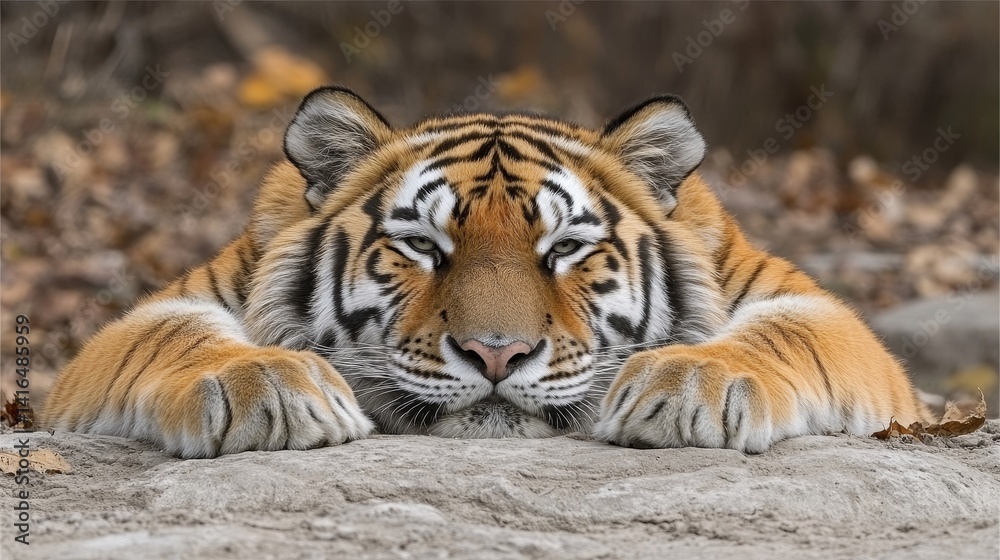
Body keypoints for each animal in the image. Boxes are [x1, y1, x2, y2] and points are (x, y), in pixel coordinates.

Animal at [41, 86, 933, 458]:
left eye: (564, 248)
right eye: (423, 247)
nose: (496, 356)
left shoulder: (819, 310)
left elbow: (777, 337)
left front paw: (691, 387)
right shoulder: (151, 314)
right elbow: (178, 339)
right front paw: (267, 389)